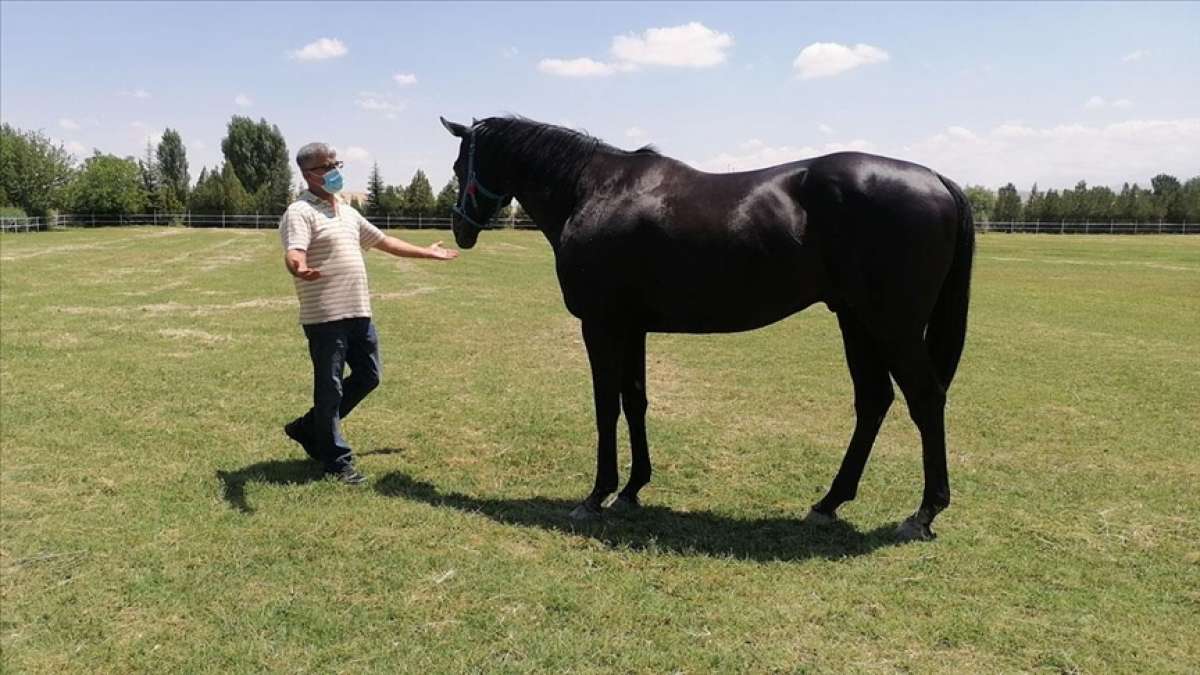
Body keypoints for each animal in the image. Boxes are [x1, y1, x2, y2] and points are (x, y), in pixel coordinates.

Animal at [441, 112, 974, 538]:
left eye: (458, 167)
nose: (461, 229)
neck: (594, 191)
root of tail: (936, 178)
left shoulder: (601, 324)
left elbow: (606, 406)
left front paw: (596, 495)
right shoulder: (632, 327)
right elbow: (636, 401)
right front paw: (632, 490)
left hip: (892, 326)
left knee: (925, 400)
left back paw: (923, 514)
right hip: (857, 322)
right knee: (873, 402)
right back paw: (828, 503)